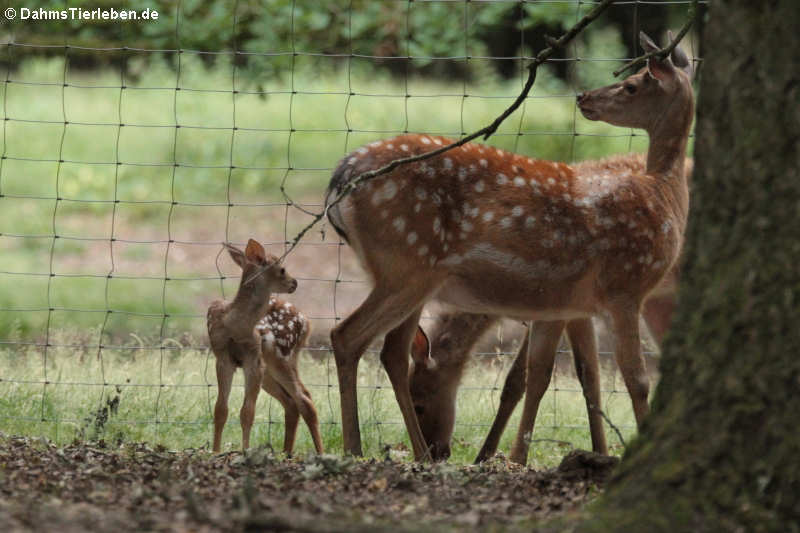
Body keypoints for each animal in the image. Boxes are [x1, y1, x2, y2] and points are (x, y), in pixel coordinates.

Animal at [208, 240, 324, 454]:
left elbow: (247, 412)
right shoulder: (222, 356)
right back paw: (286, 452)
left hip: (281, 356)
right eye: (282, 269)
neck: (235, 324)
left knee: (304, 398)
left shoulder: (253, 358)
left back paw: (319, 452)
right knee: (292, 402)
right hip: (270, 369)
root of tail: (307, 323)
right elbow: (220, 409)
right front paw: (215, 451)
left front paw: (245, 451)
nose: (294, 283)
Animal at [410, 155, 692, 462]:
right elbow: (584, 376)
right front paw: (600, 451)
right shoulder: (573, 311)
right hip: (658, 302)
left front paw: (489, 455)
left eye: (419, 402)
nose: (435, 452)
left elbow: (527, 377)